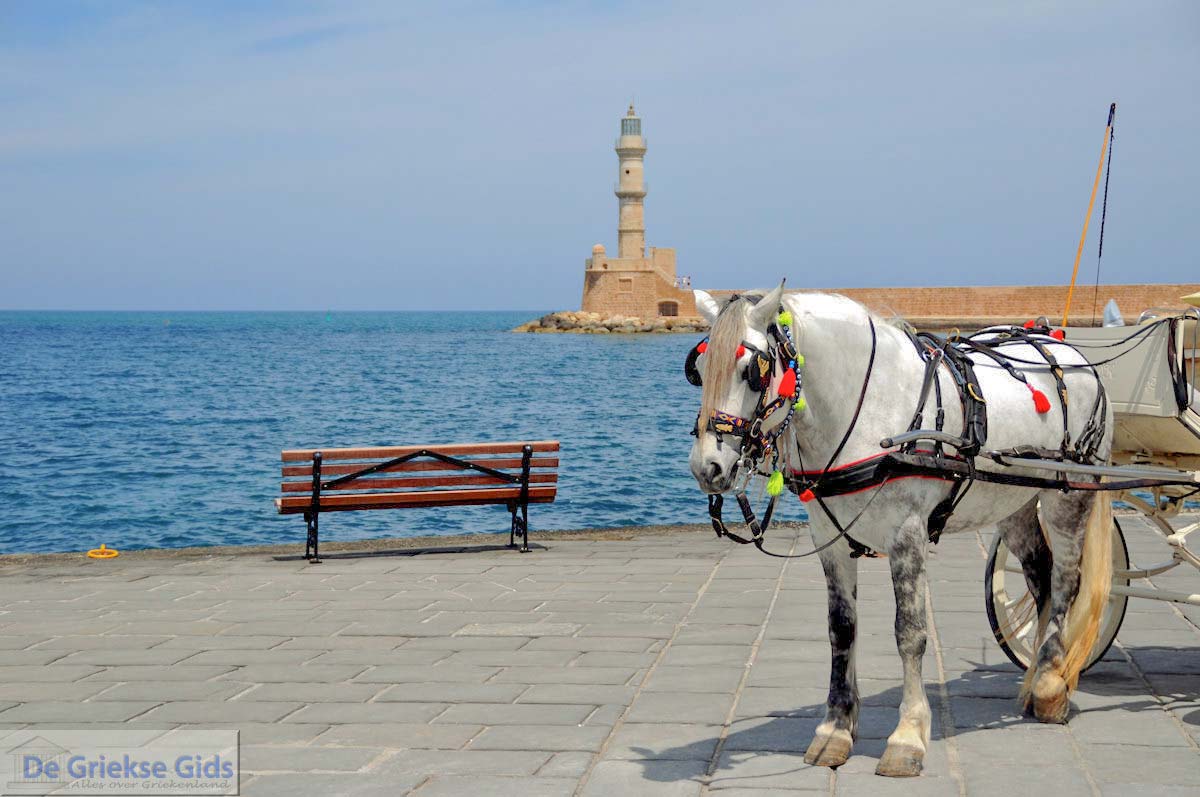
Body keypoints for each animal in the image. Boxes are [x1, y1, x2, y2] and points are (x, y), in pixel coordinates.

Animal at [686, 283, 1113, 777]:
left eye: (752, 371)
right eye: (698, 370)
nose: (707, 468)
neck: (870, 409)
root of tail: (1069, 348)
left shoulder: (908, 535)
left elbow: (910, 632)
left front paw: (907, 737)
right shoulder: (828, 539)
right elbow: (841, 629)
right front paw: (835, 730)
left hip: (1070, 494)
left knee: (1066, 583)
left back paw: (1049, 687)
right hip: (1014, 503)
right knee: (1041, 577)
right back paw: (1035, 676)